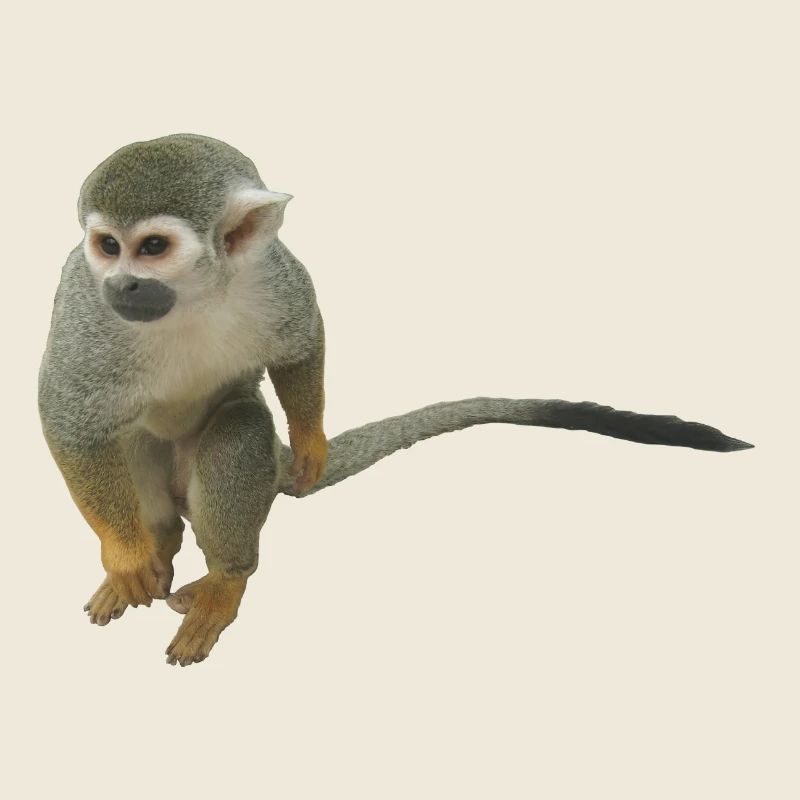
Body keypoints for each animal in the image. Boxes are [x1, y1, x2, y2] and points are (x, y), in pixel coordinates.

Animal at [38, 134, 753, 667]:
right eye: (107, 246)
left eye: (153, 247)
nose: (125, 285)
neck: (195, 297)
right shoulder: (86, 306)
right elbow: (66, 418)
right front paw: (126, 555)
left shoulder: (273, 274)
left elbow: (303, 342)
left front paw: (312, 442)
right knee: (130, 442)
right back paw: (152, 547)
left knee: (239, 426)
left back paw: (227, 578)